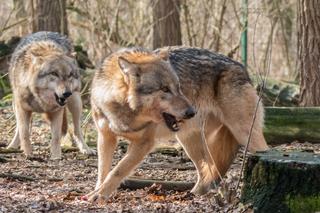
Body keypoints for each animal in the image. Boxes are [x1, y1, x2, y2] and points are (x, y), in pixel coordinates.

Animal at [86, 46, 268, 201]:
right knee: (208, 171)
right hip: (189, 141)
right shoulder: (105, 137)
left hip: (245, 135)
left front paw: (99, 195)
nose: (192, 112)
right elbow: (103, 170)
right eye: (165, 89)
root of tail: (242, 67)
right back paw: (194, 196)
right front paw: (97, 191)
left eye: (179, 87)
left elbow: (118, 170)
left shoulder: (144, 143)